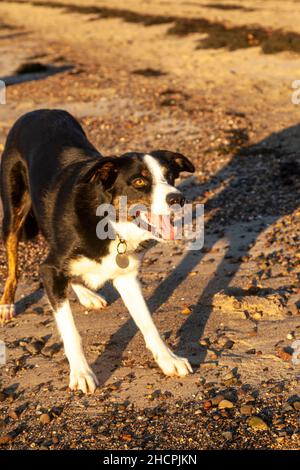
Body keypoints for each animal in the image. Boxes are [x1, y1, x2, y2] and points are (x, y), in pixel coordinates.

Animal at [0, 109, 195, 392]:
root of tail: (37, 111)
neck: (109, 219)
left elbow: (147, 322)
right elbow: (70, 330)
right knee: (14, 260)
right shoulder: (50, 268)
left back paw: (85, 293)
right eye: (139, 181)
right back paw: (7, 303)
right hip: (13, 210)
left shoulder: (126, 276)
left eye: (170, 177)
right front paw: (81, 372)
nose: (178, 198)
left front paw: (168, 359)